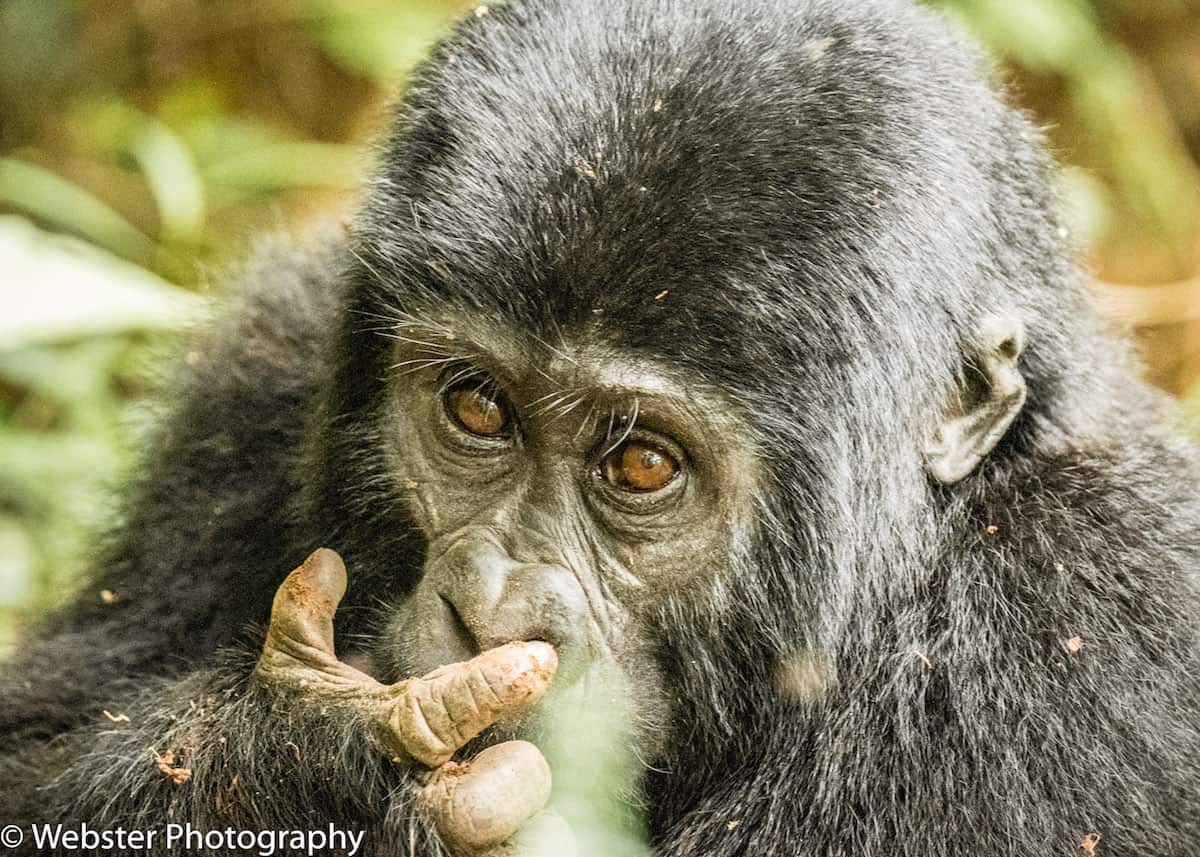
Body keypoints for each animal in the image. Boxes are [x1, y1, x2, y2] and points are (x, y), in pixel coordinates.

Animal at [2, 0, 1200, 849]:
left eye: (642, 464)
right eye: (477, 406)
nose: (491, 611)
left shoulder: (1080, 623)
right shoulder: (259, 371)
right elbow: (27, 745)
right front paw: (303, 765)